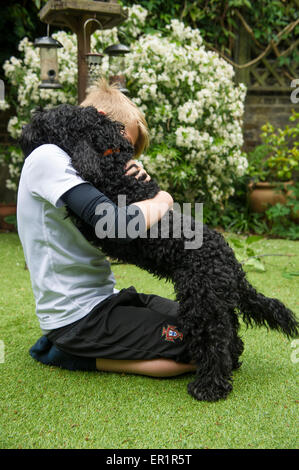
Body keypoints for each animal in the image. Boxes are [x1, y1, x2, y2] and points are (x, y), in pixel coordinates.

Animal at [19, 104, 298, 402]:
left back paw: (209, 386)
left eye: (50, 120)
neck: (111, 163)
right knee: (230, 331)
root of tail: (233, 264)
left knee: (215, 341)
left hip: (201, 305)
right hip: (214, 302)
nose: (25, 128)